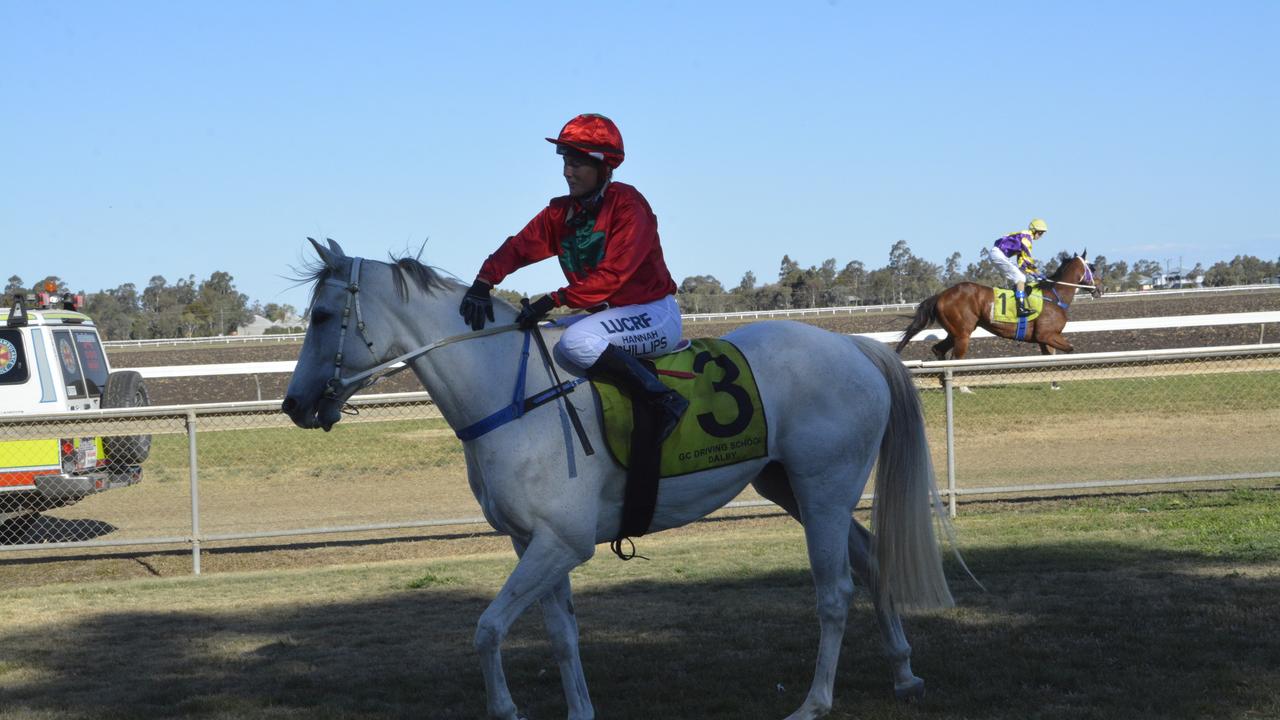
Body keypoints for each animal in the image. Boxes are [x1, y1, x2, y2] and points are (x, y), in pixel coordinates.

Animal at [282, 238, 962, 712]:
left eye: (322, 317)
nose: (294, 404)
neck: (513, 400)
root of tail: (855, 347)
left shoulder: (562, 542)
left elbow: (487, 629)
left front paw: (505, 708)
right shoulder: (532, 545)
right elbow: (561, 637)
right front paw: (579, 710)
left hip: (823, 488)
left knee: (835, 591)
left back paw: (814, 702)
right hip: (790, 485)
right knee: (871, 560)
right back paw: (904, 672)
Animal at [890, 253, 1100, 361]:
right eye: (1093, 268)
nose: (1100, 288)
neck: (1054, 296)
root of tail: (941, 294)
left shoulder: (1044, 339)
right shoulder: (1047, 335)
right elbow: (1070, 349)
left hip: (956, 332)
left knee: (938, 350)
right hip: (963, 334)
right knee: (955, 357)